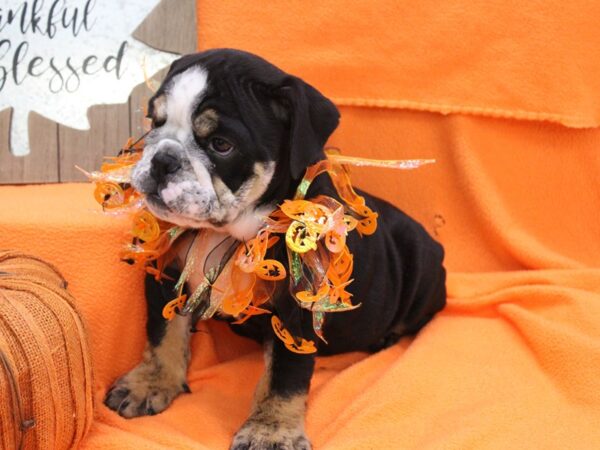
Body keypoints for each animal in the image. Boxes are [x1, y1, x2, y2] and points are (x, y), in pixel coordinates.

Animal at [104, 49, 446, 450]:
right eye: (155, 122)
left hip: (420, 267)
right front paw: (149, 383)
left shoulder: (297, 311)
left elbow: (284, 376)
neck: (229, 234)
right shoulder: (167, 274)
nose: (162, 159)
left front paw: (270, 430)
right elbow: (162, 333)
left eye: (221, 144)